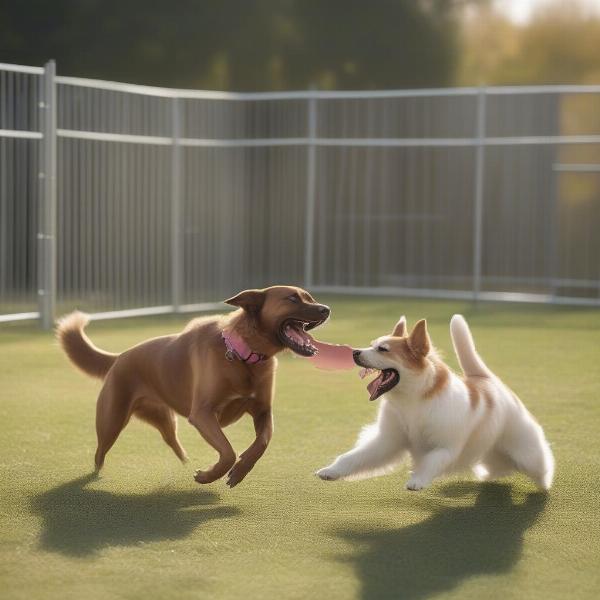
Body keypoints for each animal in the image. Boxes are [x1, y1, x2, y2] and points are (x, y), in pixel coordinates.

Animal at [56, 286, 330, 488]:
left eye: (310, 297)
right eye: (292, 298)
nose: (326, 309)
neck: (244, 354)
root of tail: (119, 357)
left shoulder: (263, 411)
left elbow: (262, 442)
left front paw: (239, 471)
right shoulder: (202, 414)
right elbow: (228, 451)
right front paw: (209, 475)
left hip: (165, 419)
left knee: (172, 440)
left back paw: (185, 461)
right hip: (111, 420)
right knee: (99, 453)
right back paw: (94, 477)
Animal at [316, 316, 556, 490]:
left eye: (382, 349)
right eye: (371, 345)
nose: (355, 353)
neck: (413, 399)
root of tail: (487, 379)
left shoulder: (445, 447)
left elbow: (430, 462)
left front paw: (417, 481)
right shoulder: (386, 442)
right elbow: (352, 458)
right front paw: (330, 471)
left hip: (526, 452)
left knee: (540, 465)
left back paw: (544, 484)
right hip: (492, 450)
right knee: (499, 467)